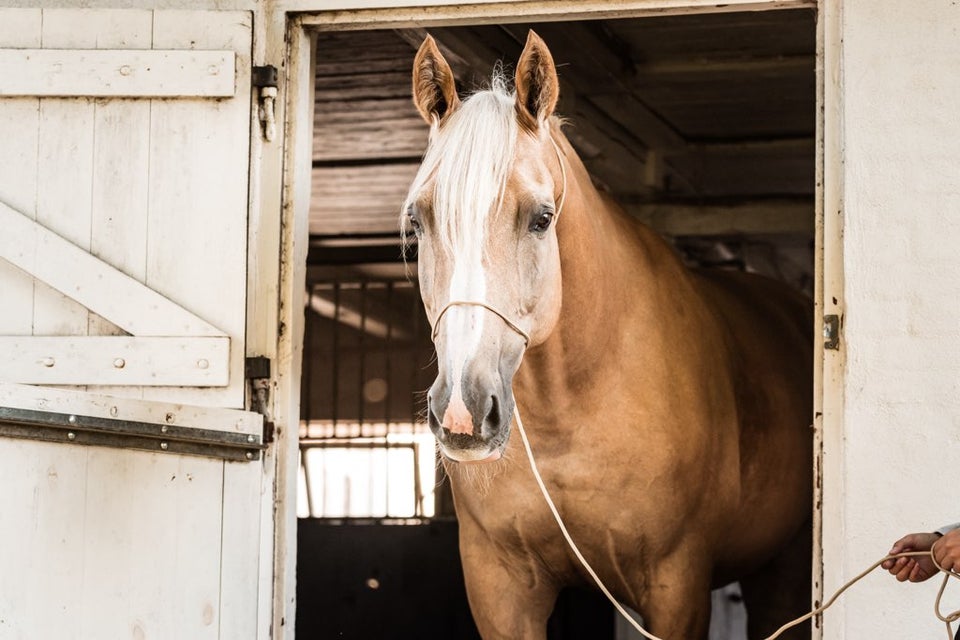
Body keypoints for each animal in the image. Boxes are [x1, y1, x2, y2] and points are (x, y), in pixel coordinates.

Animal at [402, 31, 812, 640]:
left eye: (542, 217)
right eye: (418, 221)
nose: (463, 410)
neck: (572, 409)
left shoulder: (675, 584)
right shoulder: (500, 585)